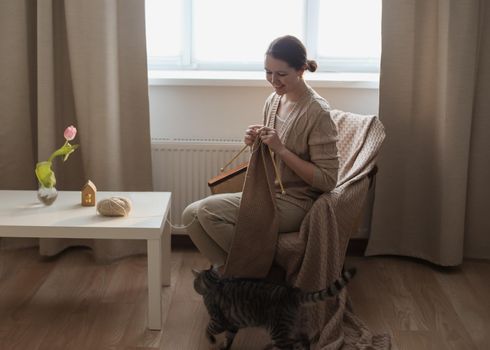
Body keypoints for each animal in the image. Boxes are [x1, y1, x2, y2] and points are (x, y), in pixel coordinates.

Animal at [191, 266, 356, 348]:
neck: (216, 283)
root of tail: (293, 291)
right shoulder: (232, 324)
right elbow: (229, 339)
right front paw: (224, 346)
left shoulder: (218, 321)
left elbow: (208, 329)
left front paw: (211, 340)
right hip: (298, 326)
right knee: (304, 343)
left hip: (278, 331)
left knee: (289, 347)